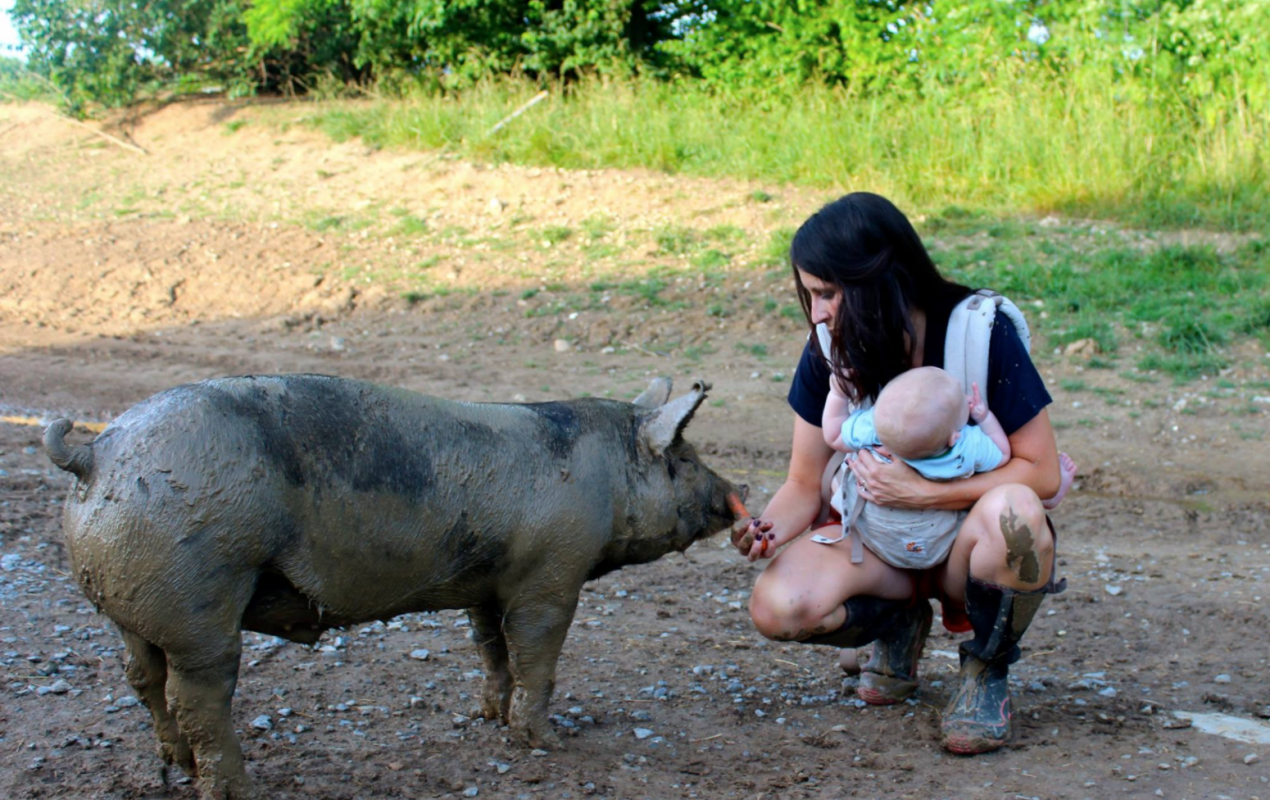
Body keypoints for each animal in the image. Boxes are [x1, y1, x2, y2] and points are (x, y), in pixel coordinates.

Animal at [44, 375, 741, 800]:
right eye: (682, 458)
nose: (738, 491)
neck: (606, 476)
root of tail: (96, 455)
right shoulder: (551, 574)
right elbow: (536, 655)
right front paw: (548, 742)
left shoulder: (488, 582)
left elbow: (491, 648)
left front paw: (488, 717)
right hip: (200, 595)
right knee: (196, 695)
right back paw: (237, 787)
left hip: (131, 606)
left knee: (143, 678)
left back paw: (177, 766)